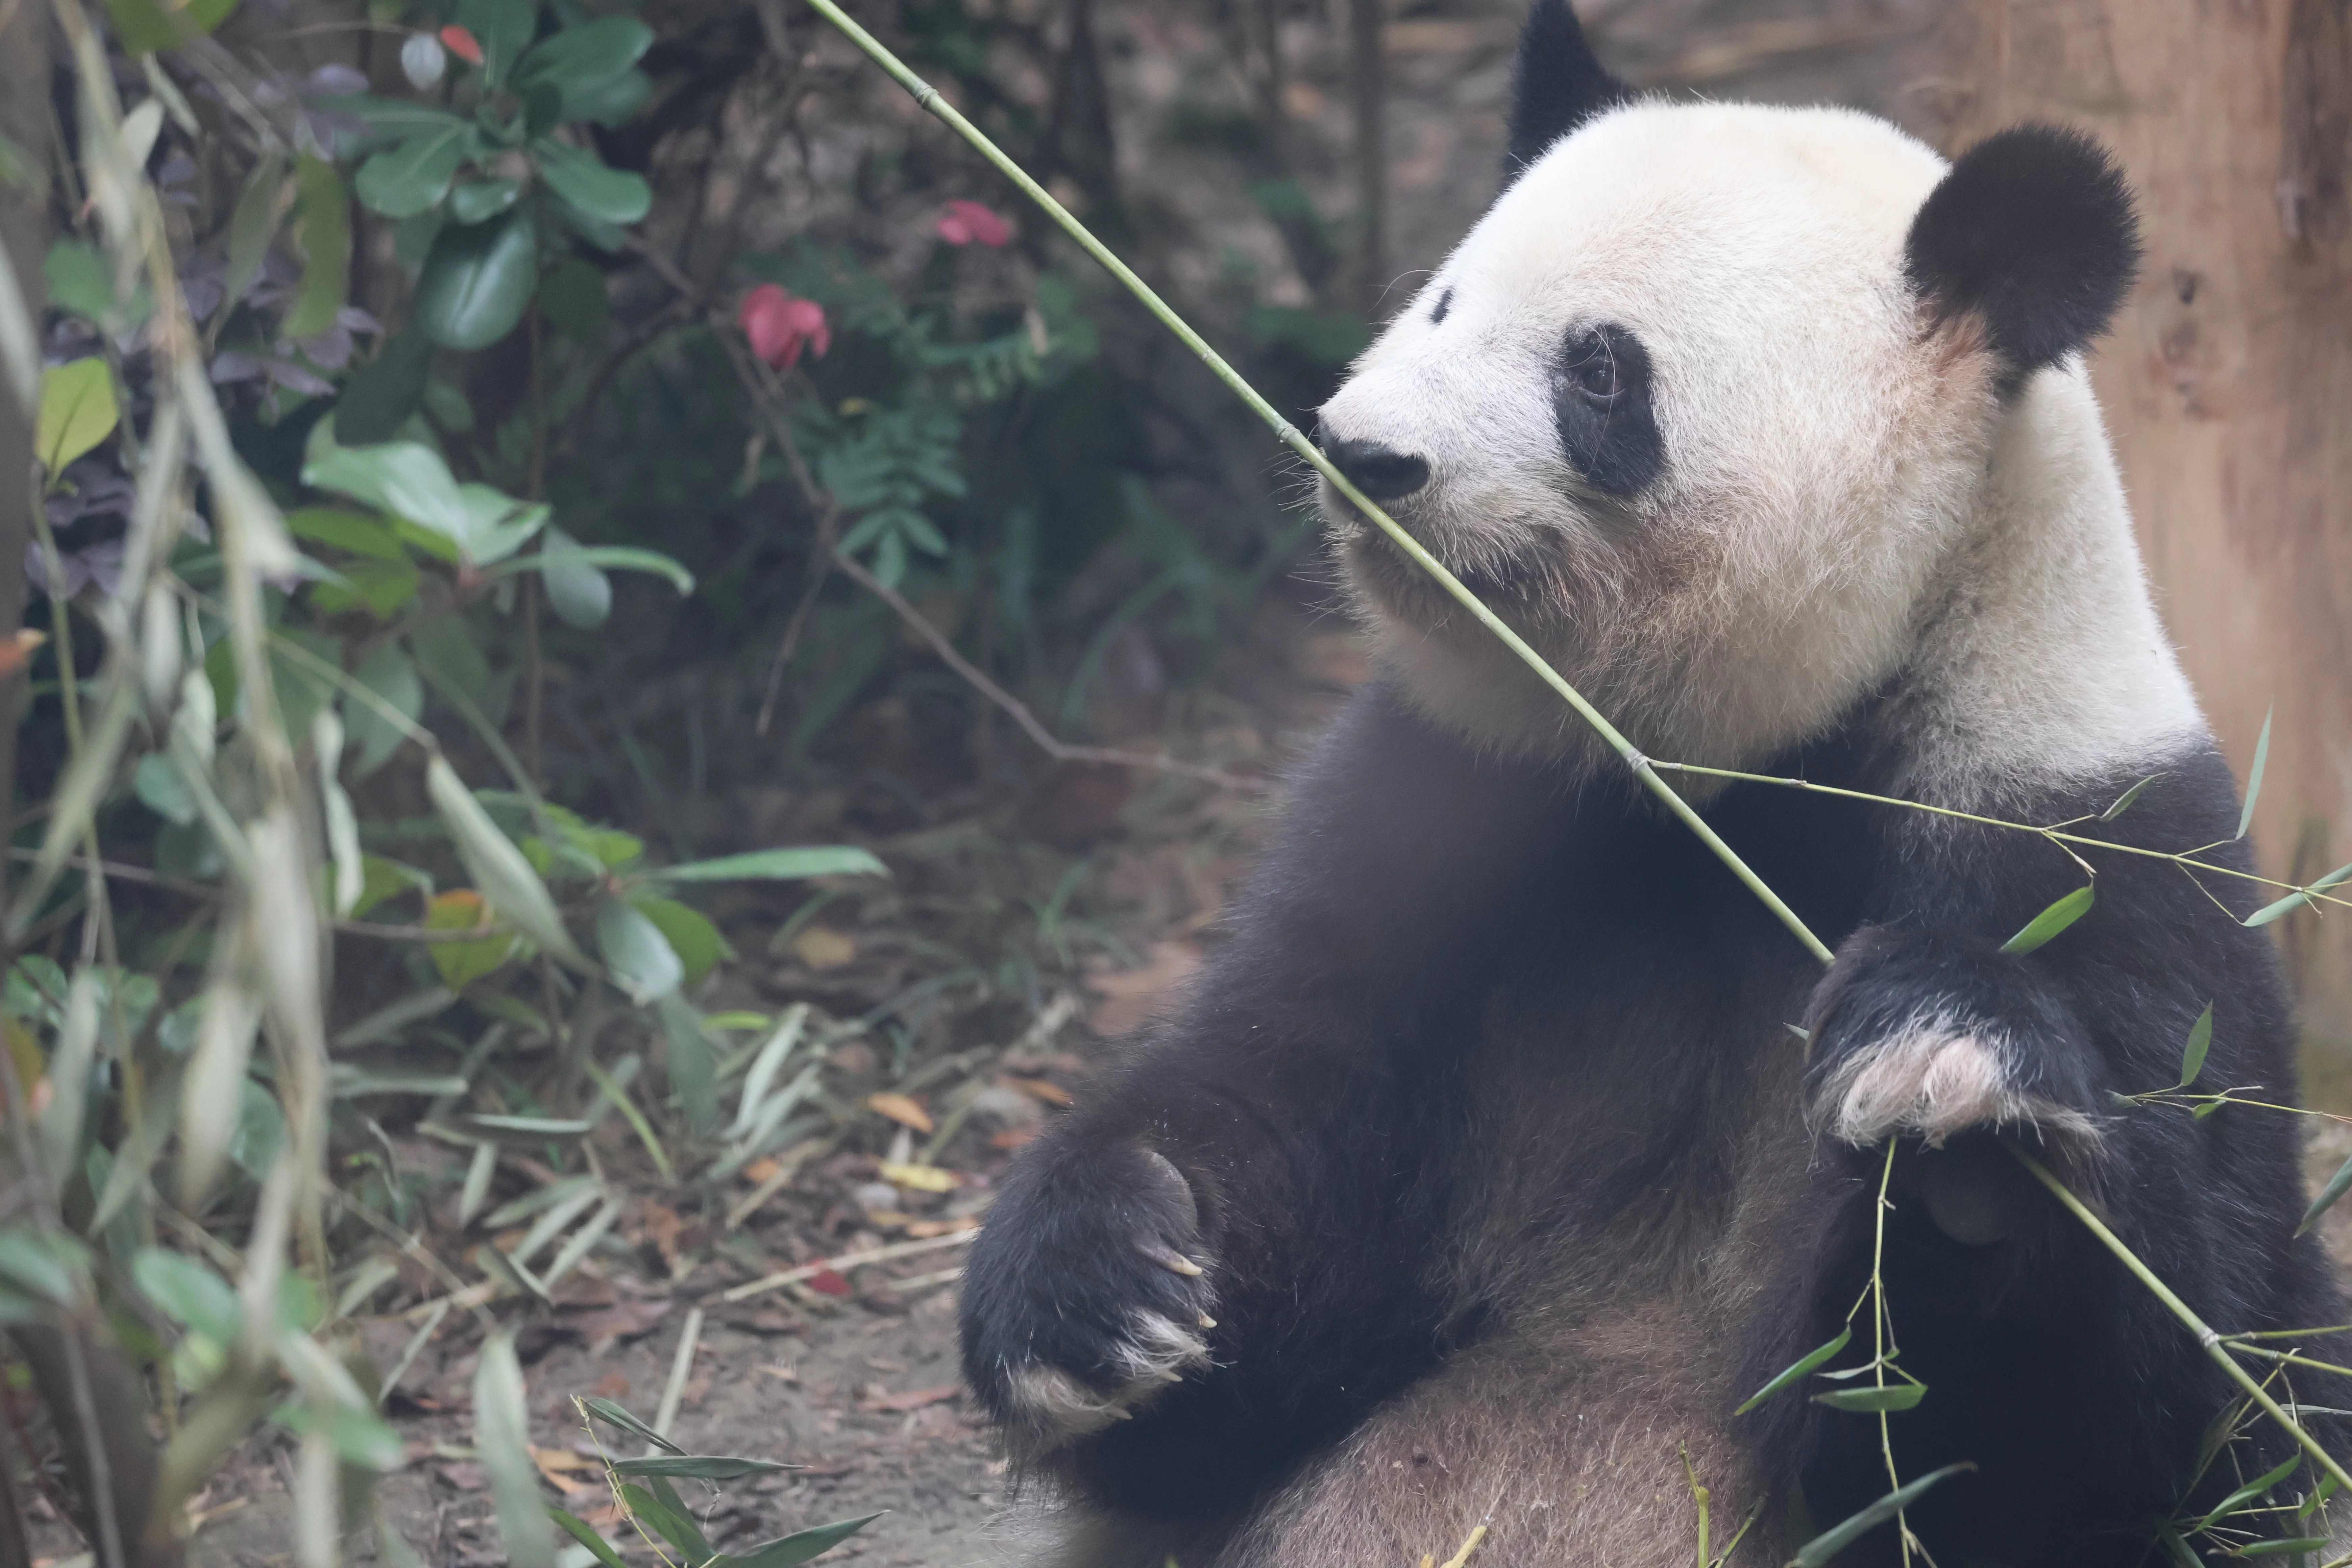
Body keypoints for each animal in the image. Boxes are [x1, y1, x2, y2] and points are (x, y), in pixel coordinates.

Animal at [958, 3, 2352, 1563]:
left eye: (1599, 370)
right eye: (1443, 303)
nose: (1368, 451)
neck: (1731, 765)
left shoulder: (2085, 838)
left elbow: (2154, 1403)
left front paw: (1958, 1118)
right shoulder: (1449, 802)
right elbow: (1281, 1119)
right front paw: (1100, 1282)